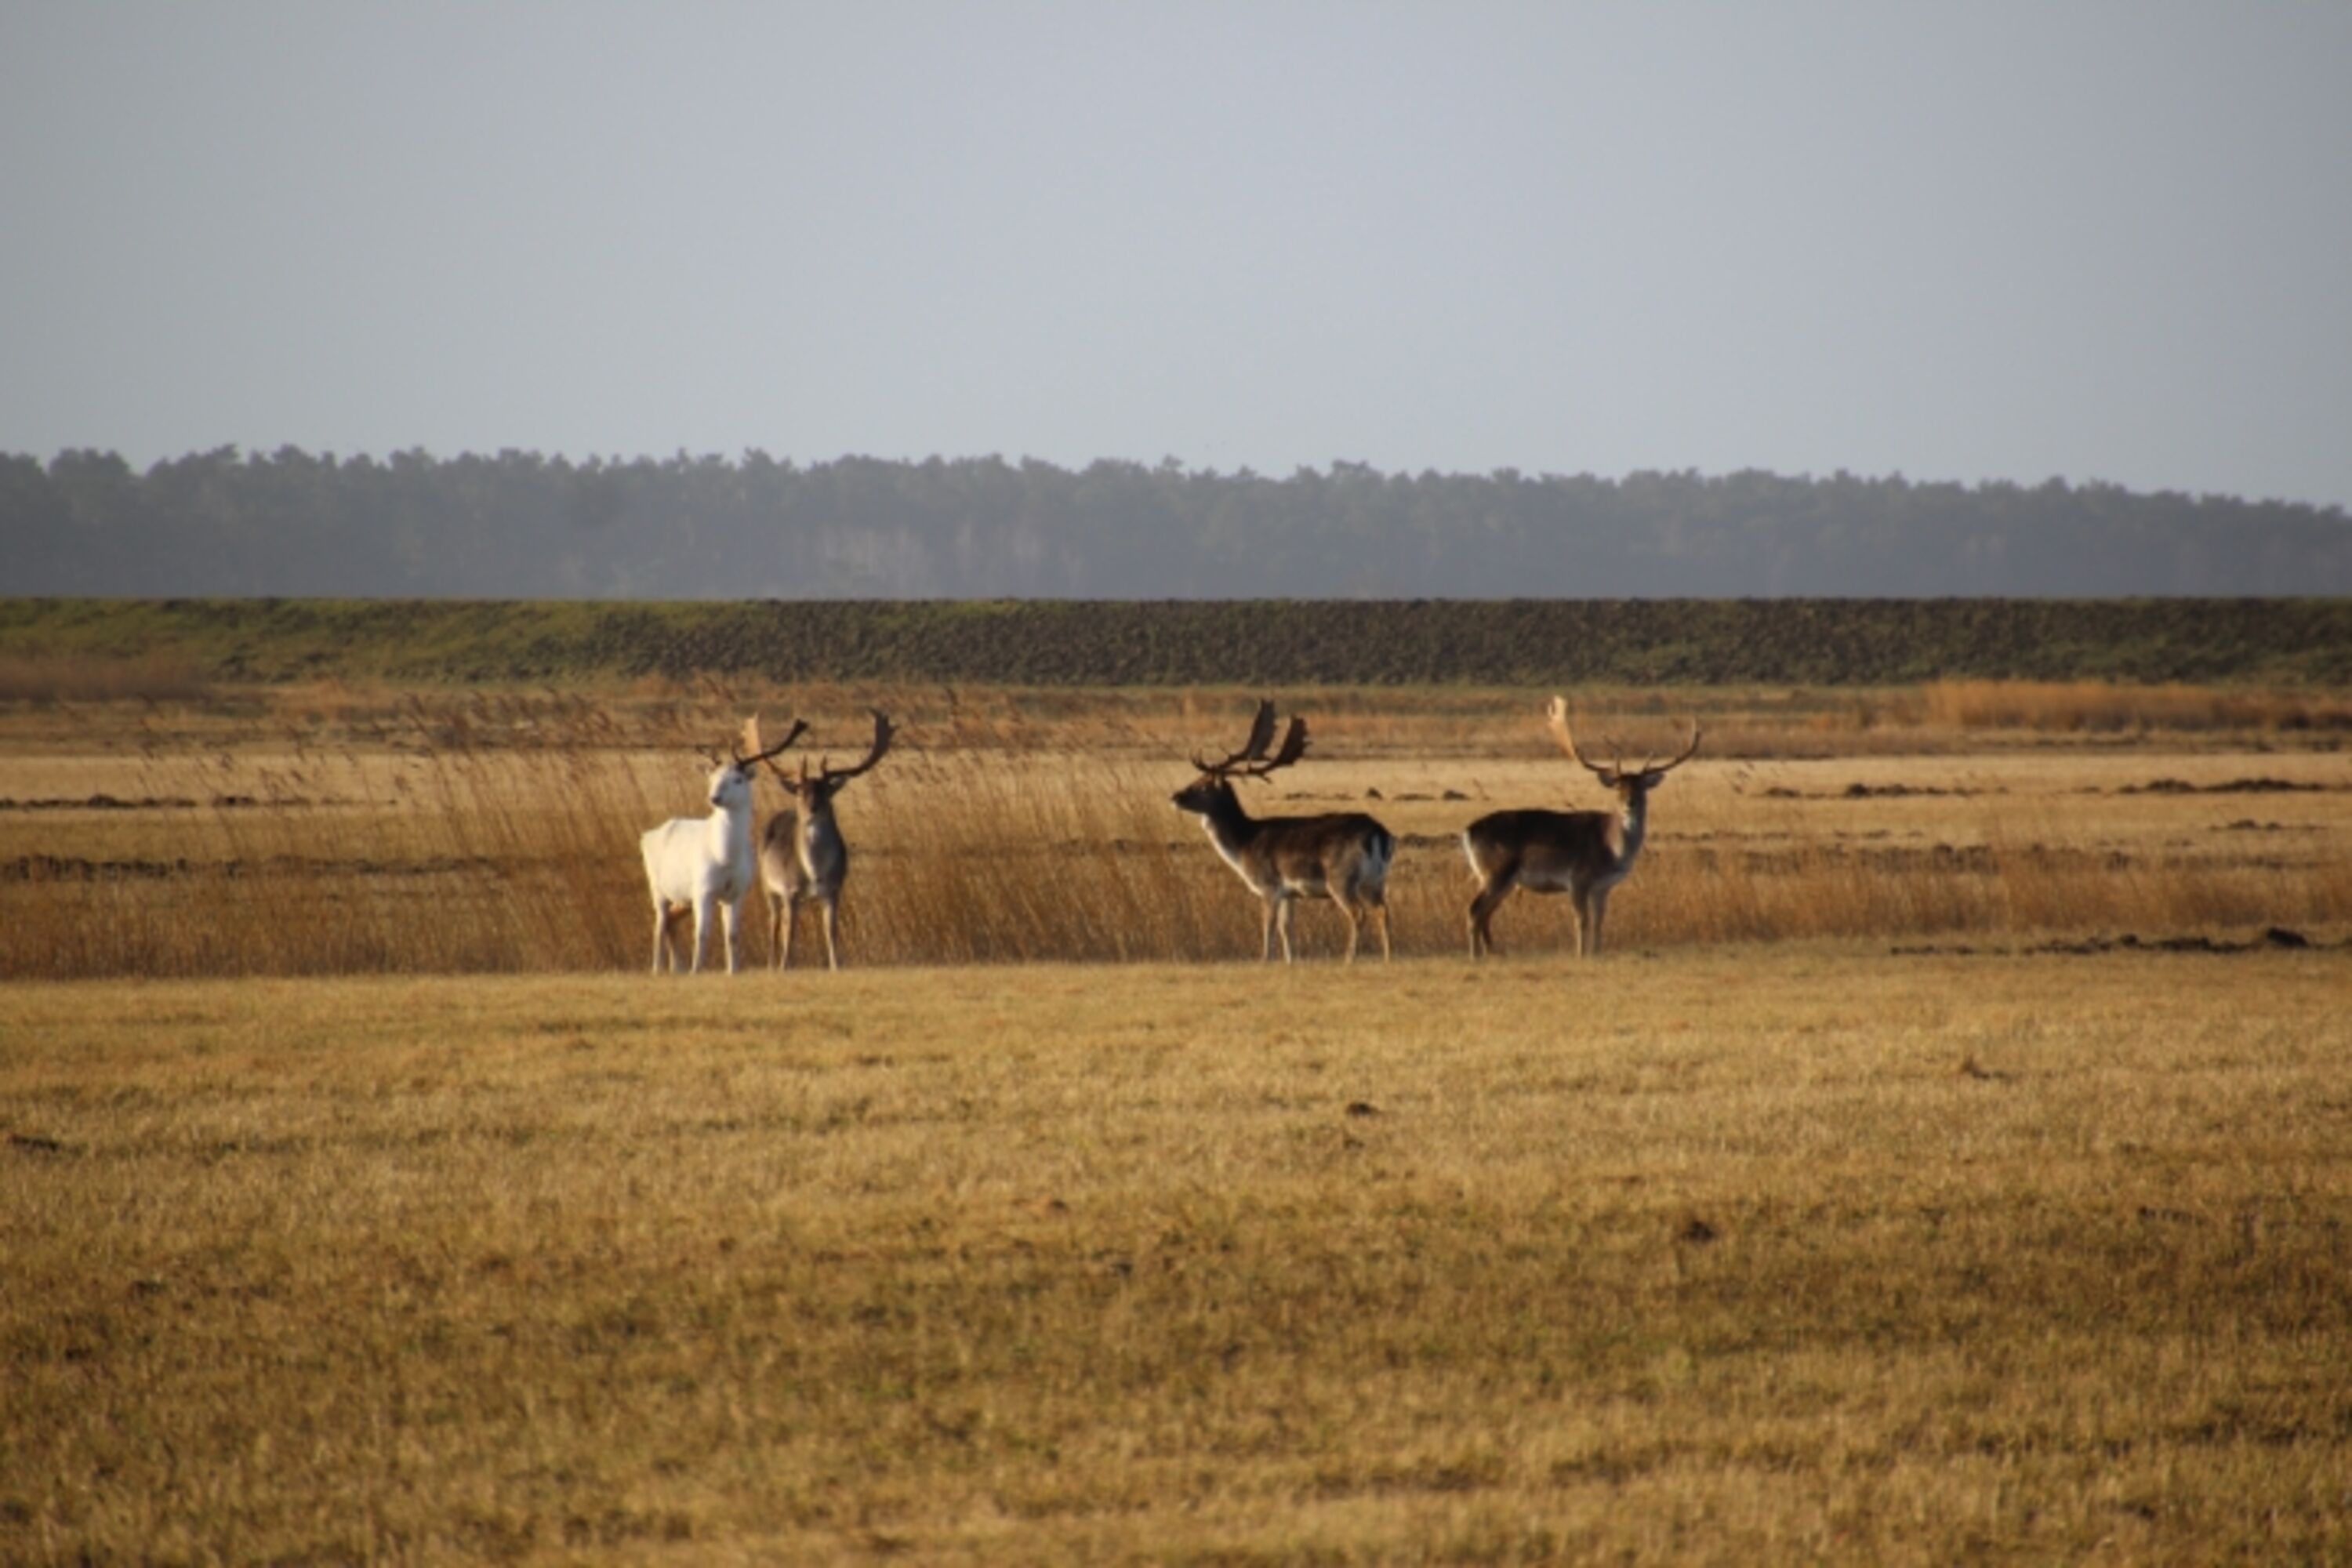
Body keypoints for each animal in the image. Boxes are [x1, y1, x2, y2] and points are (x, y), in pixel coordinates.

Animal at [641, 717, 806, 974]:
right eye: (713, 778)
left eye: (737, 779)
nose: (714, 798)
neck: (724, 858)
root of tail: (647, 836)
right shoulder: (703, 889)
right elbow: (701, 933)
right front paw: (696, 971)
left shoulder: (736, 892)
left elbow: (733, 934)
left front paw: (733, 970)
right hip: (657, 888)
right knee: (658, 925)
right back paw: (658, 969)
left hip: (682, 897)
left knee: (669, 922)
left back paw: (676, 967)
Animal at [752, 709, 895, 970]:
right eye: (801, 791)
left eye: (826, 791)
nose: (813, 809)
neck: (814, 872)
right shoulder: (789, 890)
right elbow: (789, 933)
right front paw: (783, 967)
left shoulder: (834, 890)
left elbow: (831, 931)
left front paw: (836, 966)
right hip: (767, 885)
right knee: (774, 924)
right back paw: (770, 964)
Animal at [1171, 698, 1396, 963]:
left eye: (1203, 785)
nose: (1175, 796)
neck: (1243, 845)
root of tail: (1379, 833)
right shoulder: (1290, 893)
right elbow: (1286, 928)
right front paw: (1290, 961)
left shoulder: (1269, 885)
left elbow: (1268, 926)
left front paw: (1264, 960)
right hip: (1376, 878)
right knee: (1383, 910)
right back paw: (1388, 957)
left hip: (1341, 877)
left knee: (1358, 913)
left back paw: (1348, 958)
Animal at [1462, 697, 1700, 960]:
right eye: (1619, 788)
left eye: (1641, 788)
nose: (1630, 804)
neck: (1613, 851)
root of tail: (1468, 831)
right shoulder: (1577, 877)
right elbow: (1581, 920)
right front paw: (1580, 954)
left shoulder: (1603, 886)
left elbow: (1598, 921)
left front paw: (1596, 952)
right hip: (1496, 871)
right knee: (1474, 910)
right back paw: (1475, 957)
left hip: (1501, 879)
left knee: (1485, 914)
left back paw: (1492, 954)